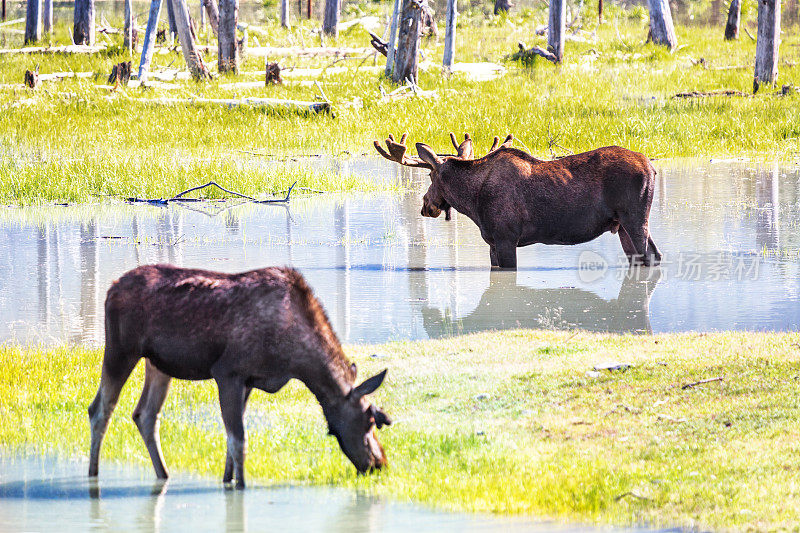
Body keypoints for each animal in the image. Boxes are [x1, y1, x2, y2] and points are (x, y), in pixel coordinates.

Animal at [89, 264, 392, 488]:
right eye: (370, 420)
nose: (379, 464)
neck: (295, 360)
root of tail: (110, 289)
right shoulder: (227, 372)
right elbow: (239, 440)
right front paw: (241, 487)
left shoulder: (249, 381)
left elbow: (231, 441)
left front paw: (228, 480)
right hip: (121, 350)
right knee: (100, 409)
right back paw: (93, 475)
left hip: (158, 365)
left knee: (145, 415)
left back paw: (163, 474)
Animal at [376, 131, 664, 268]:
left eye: (430, 176)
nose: (426, 205)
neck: (472, 202)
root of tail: (652, 167)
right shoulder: (493, 242)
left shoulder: (506, 238)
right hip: (621, 225)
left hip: (635, 218)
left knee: (651, 255)